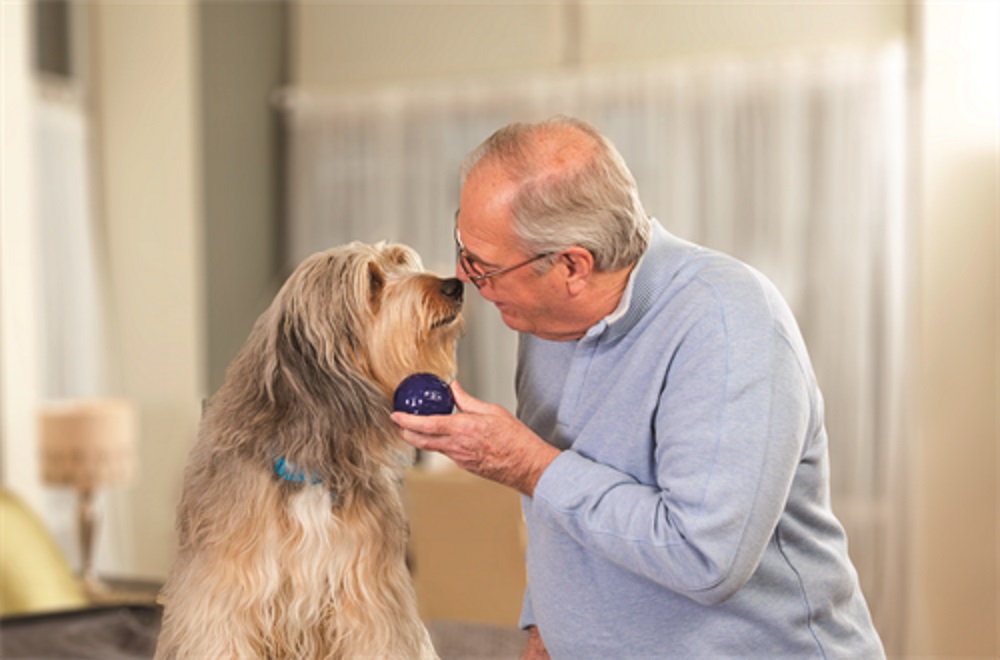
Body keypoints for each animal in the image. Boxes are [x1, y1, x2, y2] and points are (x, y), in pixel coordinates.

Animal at [157, 242, 464, 660]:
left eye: (402, 263)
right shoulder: (225, 598)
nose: (455, 285)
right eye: (372, 283)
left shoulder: (370, 599)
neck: (310, 466)